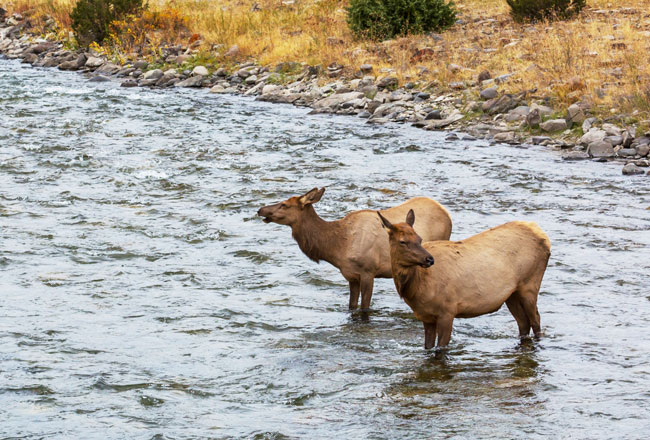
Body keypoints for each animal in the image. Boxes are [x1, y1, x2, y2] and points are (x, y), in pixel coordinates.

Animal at [254, 188, 450, 310]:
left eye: (284, 204)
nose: (260, 209)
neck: (338, 247)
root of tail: (446, 212)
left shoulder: (368, 272)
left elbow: (364, 307)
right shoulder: (351, 275)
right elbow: (351, 306)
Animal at [378, 211, 548, 350]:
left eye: (419, 238)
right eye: (402, 241)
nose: (429, 259)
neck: (417, 287)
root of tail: (543, 235)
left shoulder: (447, 311)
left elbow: (441, 348)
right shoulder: (426, 316)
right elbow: (428, 347)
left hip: (530, 283)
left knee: (536, 320)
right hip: (511, 294)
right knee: (523, 323)